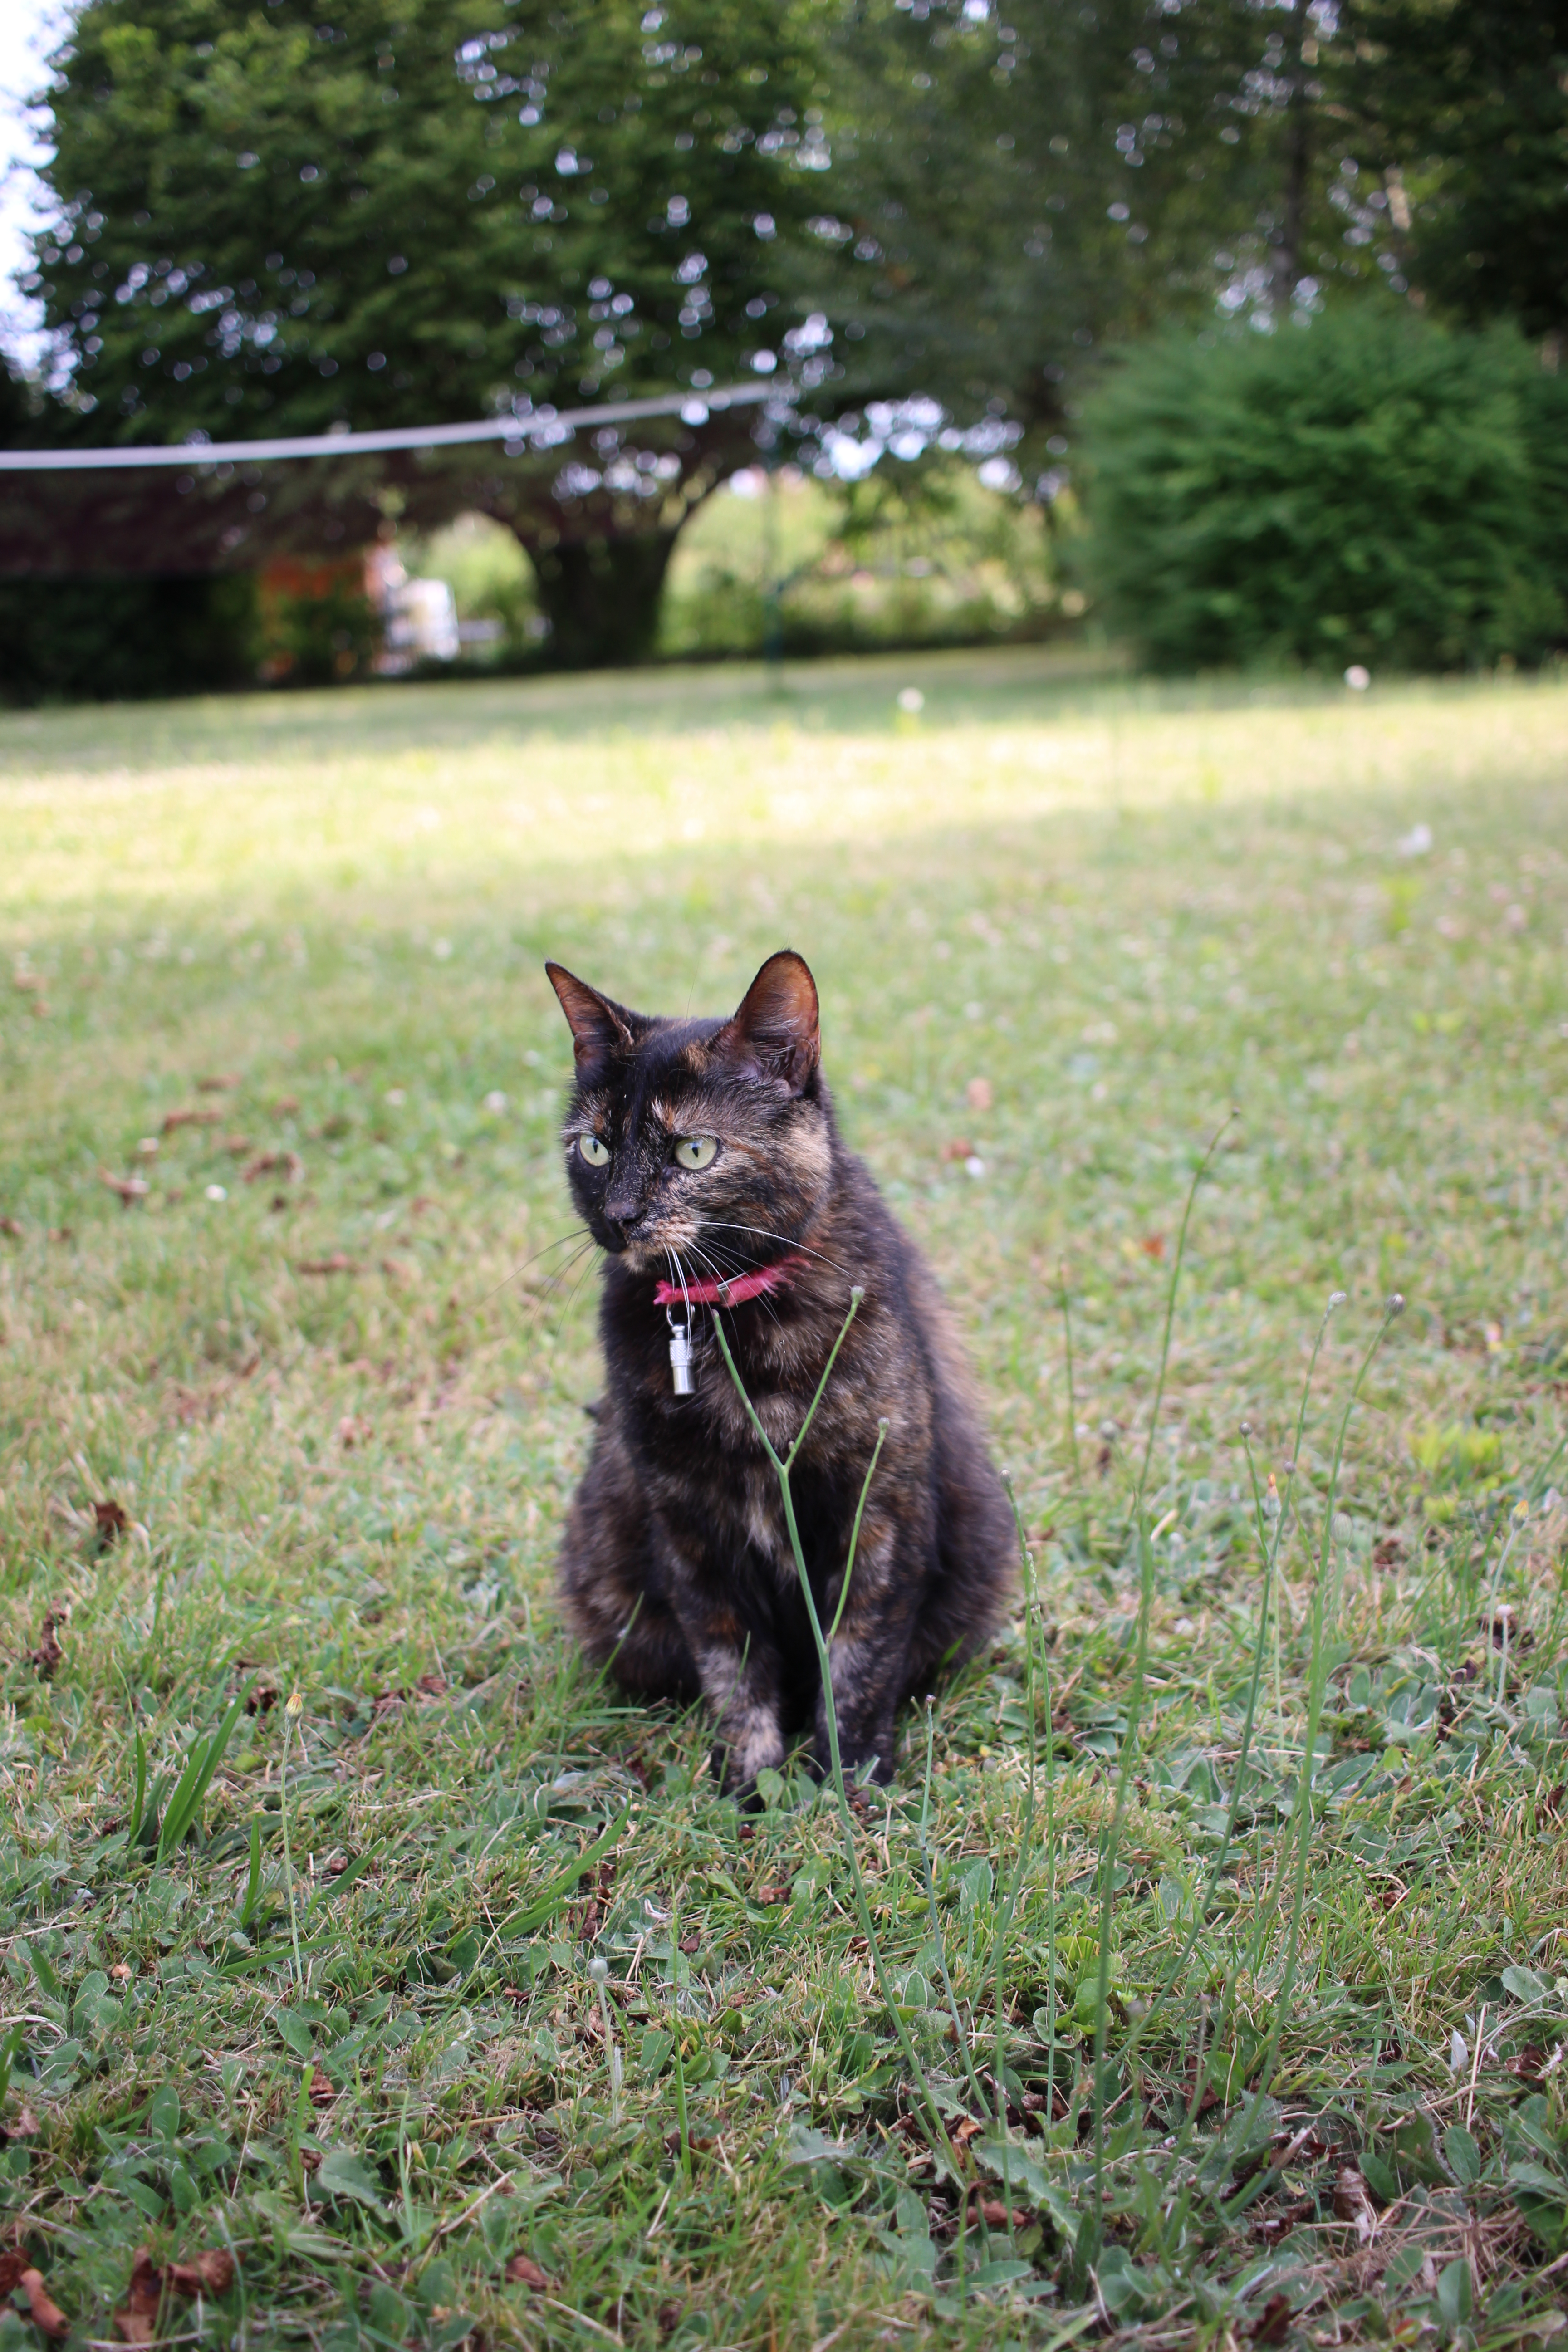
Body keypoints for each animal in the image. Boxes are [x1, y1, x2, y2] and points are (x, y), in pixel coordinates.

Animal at [552, 945, 1011, 1787]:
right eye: (594, 1147)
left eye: (694, 1150)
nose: (620, 1216)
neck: (729, 1323)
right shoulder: (688, 1522)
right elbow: (730, 1660)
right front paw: (750, 1781)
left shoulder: (879, 1506)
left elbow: (860, 1653)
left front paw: (851, 1781)